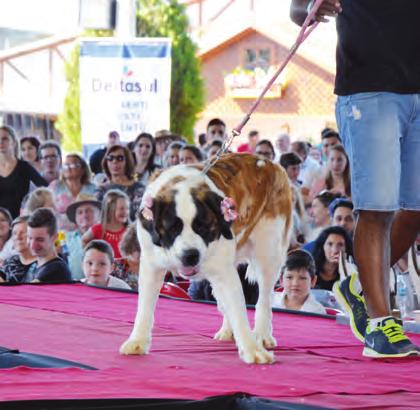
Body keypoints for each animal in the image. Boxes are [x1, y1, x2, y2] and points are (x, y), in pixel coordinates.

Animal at [120, 152, 292, 364]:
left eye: (202, 227)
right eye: (172, 228)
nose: (190, 254)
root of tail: (269, 162)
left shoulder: (223, 268)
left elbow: (239, 309)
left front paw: (252, 349)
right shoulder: (151, 265)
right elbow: (144, 307)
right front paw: (137, 341)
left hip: (268, 250)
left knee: (264, 298)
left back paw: (262, 335)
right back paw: (227, 331)